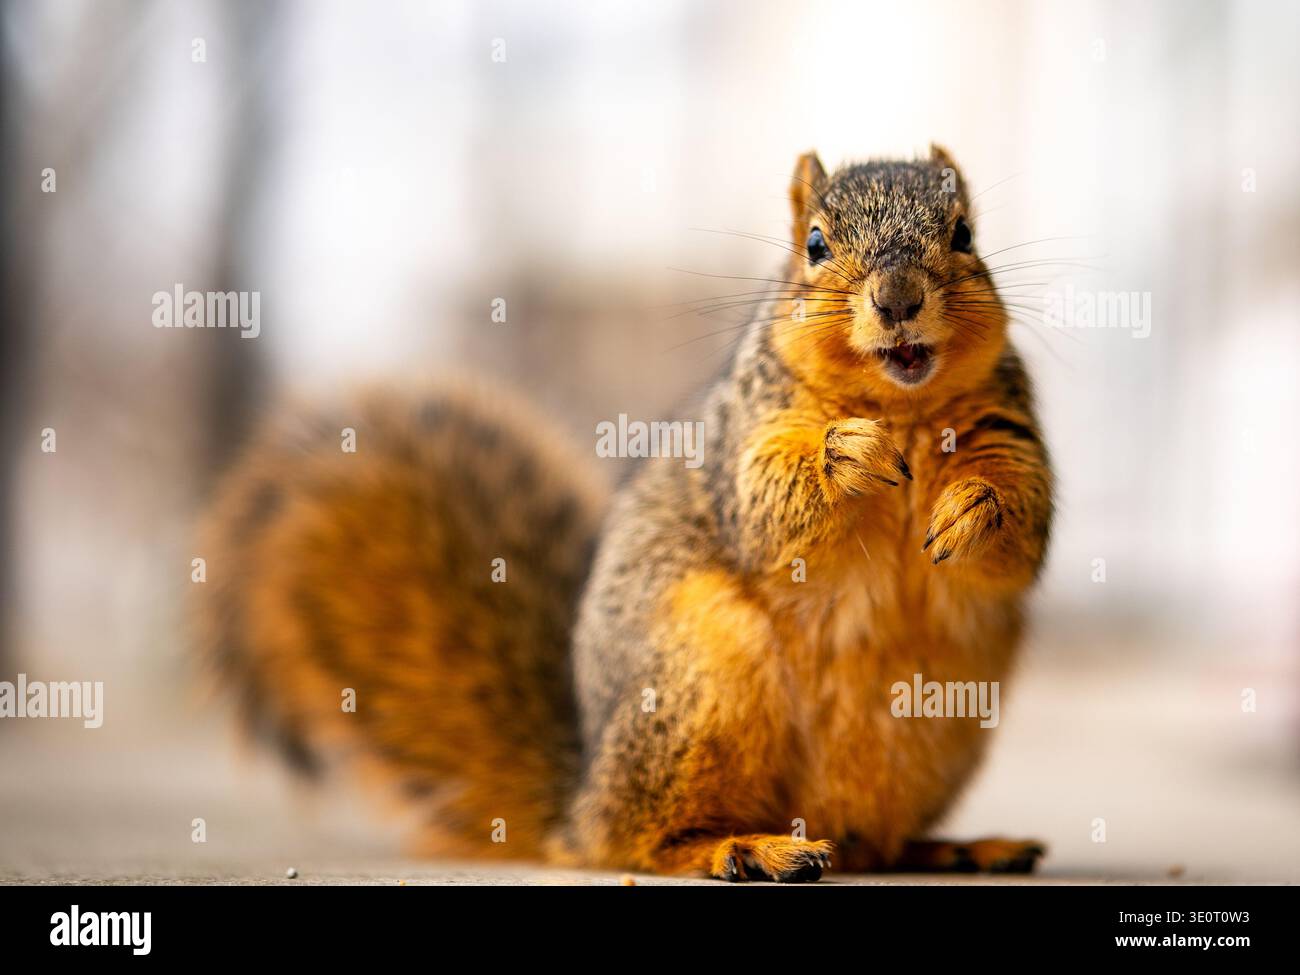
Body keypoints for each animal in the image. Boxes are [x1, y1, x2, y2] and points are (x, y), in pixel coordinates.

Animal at [196, 145, 1054, 882]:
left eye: (964, 233)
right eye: (814, 243)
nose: (898, 299)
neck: (900, 406)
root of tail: (575, 803)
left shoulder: (1008, 426)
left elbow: (1027, 517)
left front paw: (974, 505)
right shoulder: (743, 437)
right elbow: (768, 505)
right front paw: (848, 454)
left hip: (937, 725)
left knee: (880, 843)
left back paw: (961, 848)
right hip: (698, 682)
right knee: (636, 837)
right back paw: (742, 847)